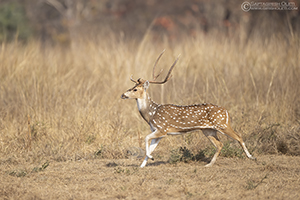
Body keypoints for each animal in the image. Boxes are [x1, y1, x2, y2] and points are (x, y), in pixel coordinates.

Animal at [120, 51, 254, 167]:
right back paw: (209, 164)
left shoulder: (162, 129)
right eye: (132, 86)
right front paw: (142, 165)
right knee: (220, 144)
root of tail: (226, 111)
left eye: (135, 89)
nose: (123, 95)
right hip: (208, 130)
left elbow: (146, 137)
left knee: (239, 137)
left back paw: (251, 157)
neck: (151, 113)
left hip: (222, 124)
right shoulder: (158, 132)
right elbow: (151, 147)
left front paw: (151, 159)